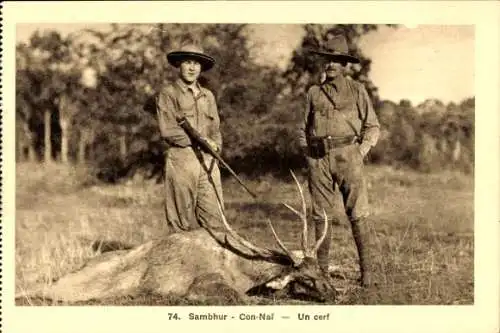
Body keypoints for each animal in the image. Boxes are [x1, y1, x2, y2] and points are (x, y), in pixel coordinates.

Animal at [15, 171, 338, 304]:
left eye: (322, 270)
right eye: (306, 278)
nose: (334, 293)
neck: (242, 268)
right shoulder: (202, 282)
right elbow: (235, 297)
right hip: (71, 285)